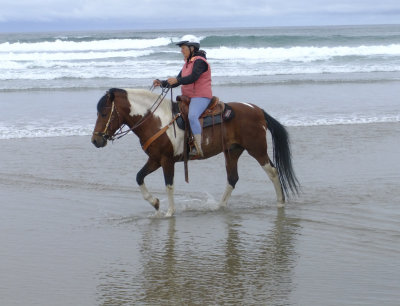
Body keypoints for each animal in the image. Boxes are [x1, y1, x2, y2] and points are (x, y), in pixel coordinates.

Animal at [90, 87, 296, 216]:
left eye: (104, 113)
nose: (95, 140)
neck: (156, 120)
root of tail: (257, 110)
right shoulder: (155, 160)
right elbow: (139, 177)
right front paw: (155, 203)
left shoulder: (167, 160)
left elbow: (169, 185)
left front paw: (169, 212)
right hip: (232, 152)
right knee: (232, 178)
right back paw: (219, 206)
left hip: (257, 149)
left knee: (273, 171)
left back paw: (280, 202)